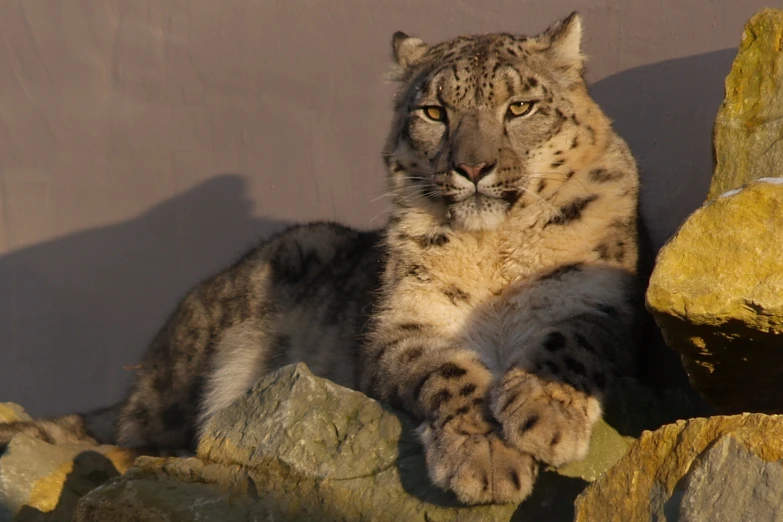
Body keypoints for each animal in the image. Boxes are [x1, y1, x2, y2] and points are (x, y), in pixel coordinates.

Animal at [1, 13, 644, 504]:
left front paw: (543, 418)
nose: (473, 166)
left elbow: (570, 339)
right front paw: (487, 462)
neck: (491, 248)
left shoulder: (602, 298)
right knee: (132, 433)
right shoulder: (400, 328)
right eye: (435, 112)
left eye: (520, 107)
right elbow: (450, 374)